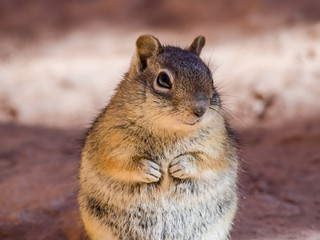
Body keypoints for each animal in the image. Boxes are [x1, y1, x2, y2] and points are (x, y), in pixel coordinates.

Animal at [78, 34, 238, 239]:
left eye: (210, 78)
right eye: (163, 79)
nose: (200, 110)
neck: (169, 130)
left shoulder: (218, 144)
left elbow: (210, 161)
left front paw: (181, 165)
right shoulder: (111, 141)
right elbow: (117, 162)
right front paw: (148, 169)